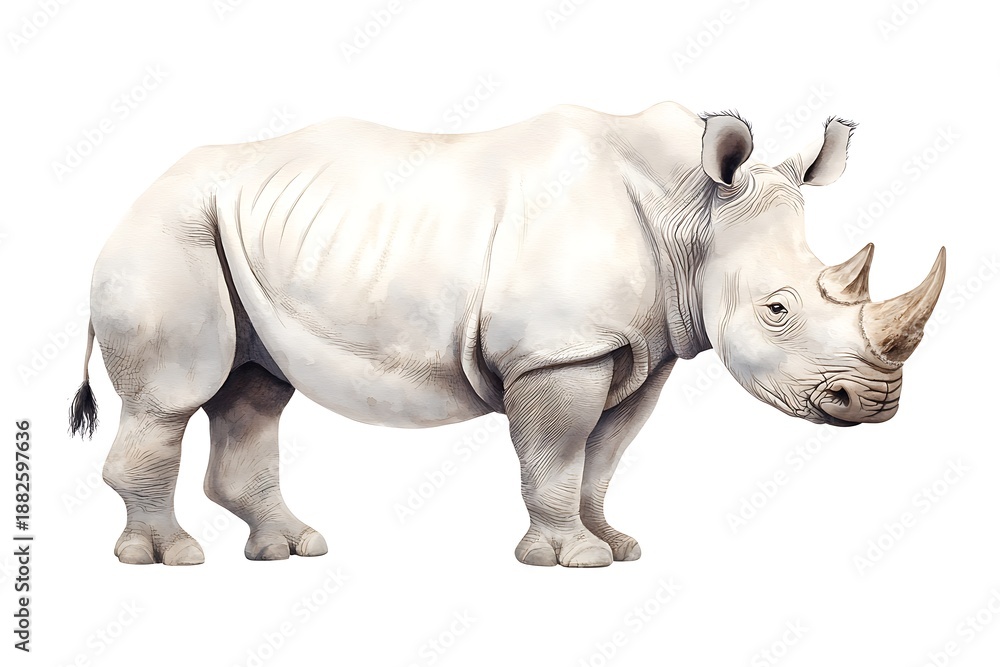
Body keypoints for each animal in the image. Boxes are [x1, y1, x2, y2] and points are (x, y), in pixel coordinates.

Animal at [70, 102, 945, 567]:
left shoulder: (639, 348)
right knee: (175, 394)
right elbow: (556, 456)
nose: (874, 403)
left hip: (231, 234)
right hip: (169, 230)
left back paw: (292, 548)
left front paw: (615, 545)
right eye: (778, 310)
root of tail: (130, 200)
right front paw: (571, 559)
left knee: (254, 388)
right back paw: (170, 557)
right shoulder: (558, 350)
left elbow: (601, 460)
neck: (692, 213)